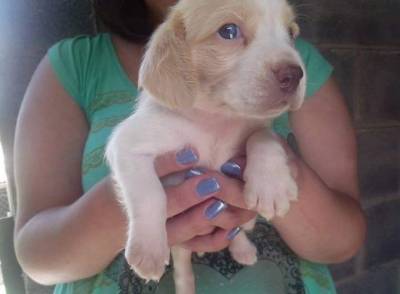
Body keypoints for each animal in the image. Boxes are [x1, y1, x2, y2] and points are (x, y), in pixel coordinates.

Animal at [104, 0, 304, 292]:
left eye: (291, 33)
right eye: (229, 31)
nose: (295, 74)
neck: (216, 120)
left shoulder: (256, 127)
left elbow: (263, 137)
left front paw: (271, 186)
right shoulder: (126, 143)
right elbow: (151, 195)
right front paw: (149, 250)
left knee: (235, 231)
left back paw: (243, 248)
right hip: (180, 246)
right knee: (183, 267)